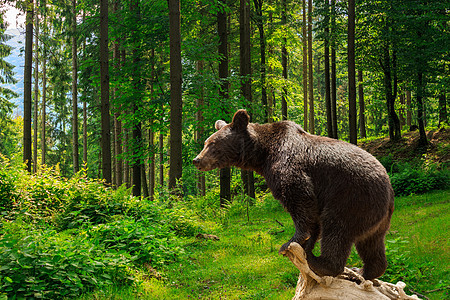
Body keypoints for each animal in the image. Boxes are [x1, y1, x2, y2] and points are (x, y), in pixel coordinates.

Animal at [193, 109, 394, 280]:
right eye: (205, 143)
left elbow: (299, 197)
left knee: (337, 228)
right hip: (377, 219)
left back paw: (320, 262)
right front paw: (307, 241)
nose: (197, 160)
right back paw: (362, 270)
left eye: (212, 143)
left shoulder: (288, 163)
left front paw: (292, 242)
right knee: (371, 243)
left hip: (352, 197)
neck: (261, 154)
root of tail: (388, 188)